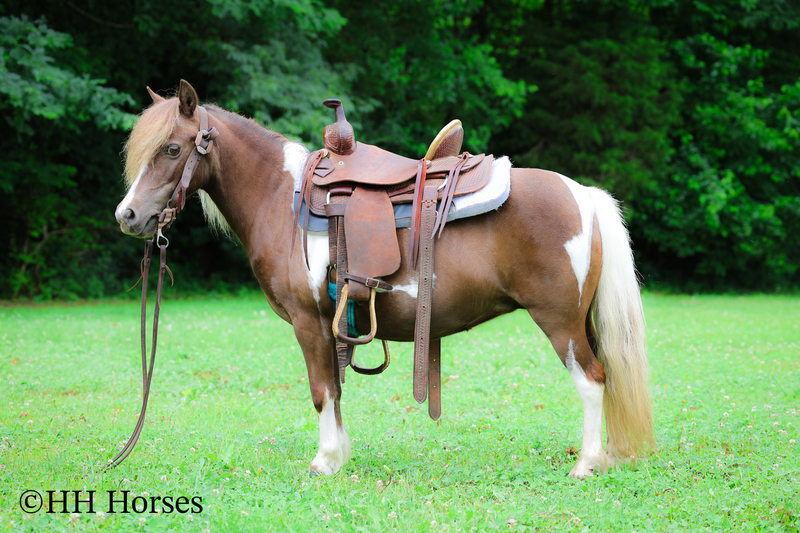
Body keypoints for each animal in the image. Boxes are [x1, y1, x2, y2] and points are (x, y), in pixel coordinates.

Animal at [114, 80, 654, 479]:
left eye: (172, 148)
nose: (128, 215)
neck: (282, 199)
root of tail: (583, 194)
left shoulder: (309, 322)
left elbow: (321, 390)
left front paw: (324, 462)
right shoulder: (332, 325)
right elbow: (334, 389)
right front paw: (339, 455)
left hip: (559, 321)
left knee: (591, 381)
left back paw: (587, 464)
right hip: (580, 321)